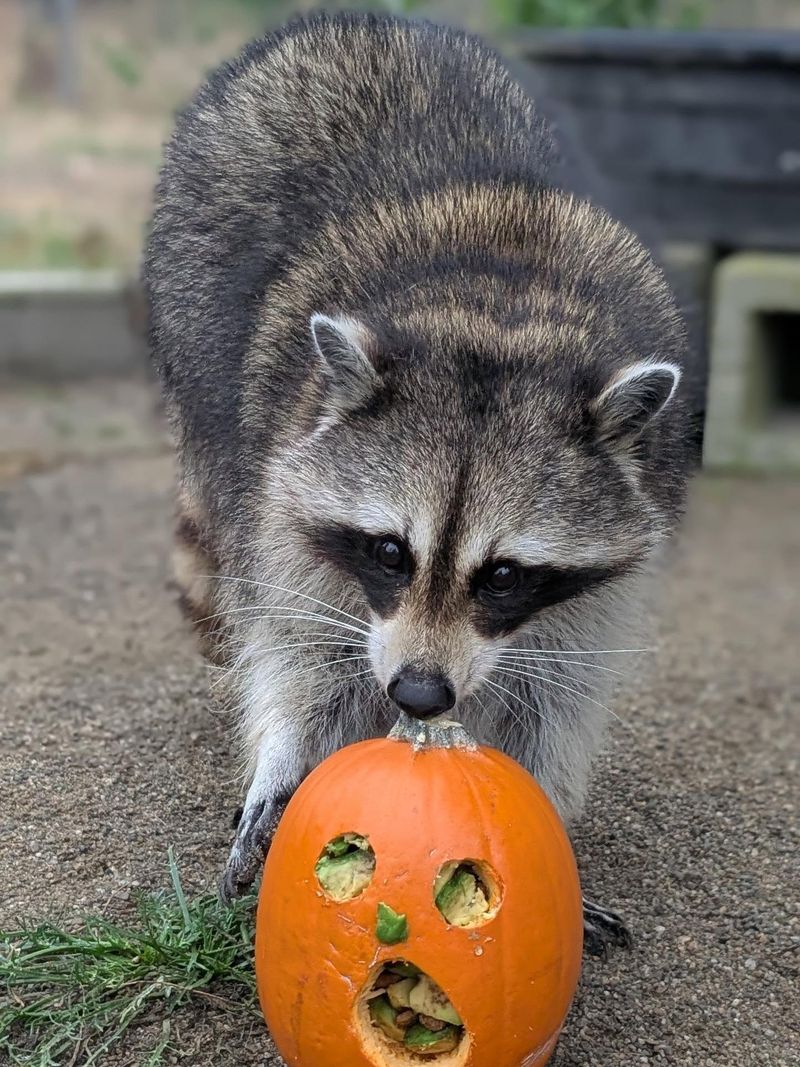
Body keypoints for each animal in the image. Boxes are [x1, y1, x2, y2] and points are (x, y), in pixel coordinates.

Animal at [143, 12, 690, 951]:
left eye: (504, 574)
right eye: (390, 552)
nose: (420, 693)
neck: (499, 312)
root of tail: (351, 22)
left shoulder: (624, 537)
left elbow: (557, 689)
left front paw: (541, 808)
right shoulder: (282, 482)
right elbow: (299, 642)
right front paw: (286, 754)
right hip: (195, 318)